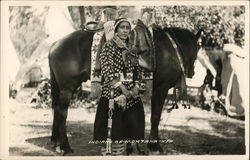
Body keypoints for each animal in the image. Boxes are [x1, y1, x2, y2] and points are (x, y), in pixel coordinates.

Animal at [48, 20, 203, 154]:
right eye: (198, 47)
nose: (192, 72)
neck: (171, 49)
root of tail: (55, 44)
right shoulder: (161, 89)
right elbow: (155, 117)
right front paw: (154, 145)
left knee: (57, 110)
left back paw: (56, 142)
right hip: (67, 88)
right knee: (62, 112)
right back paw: (65, 146)